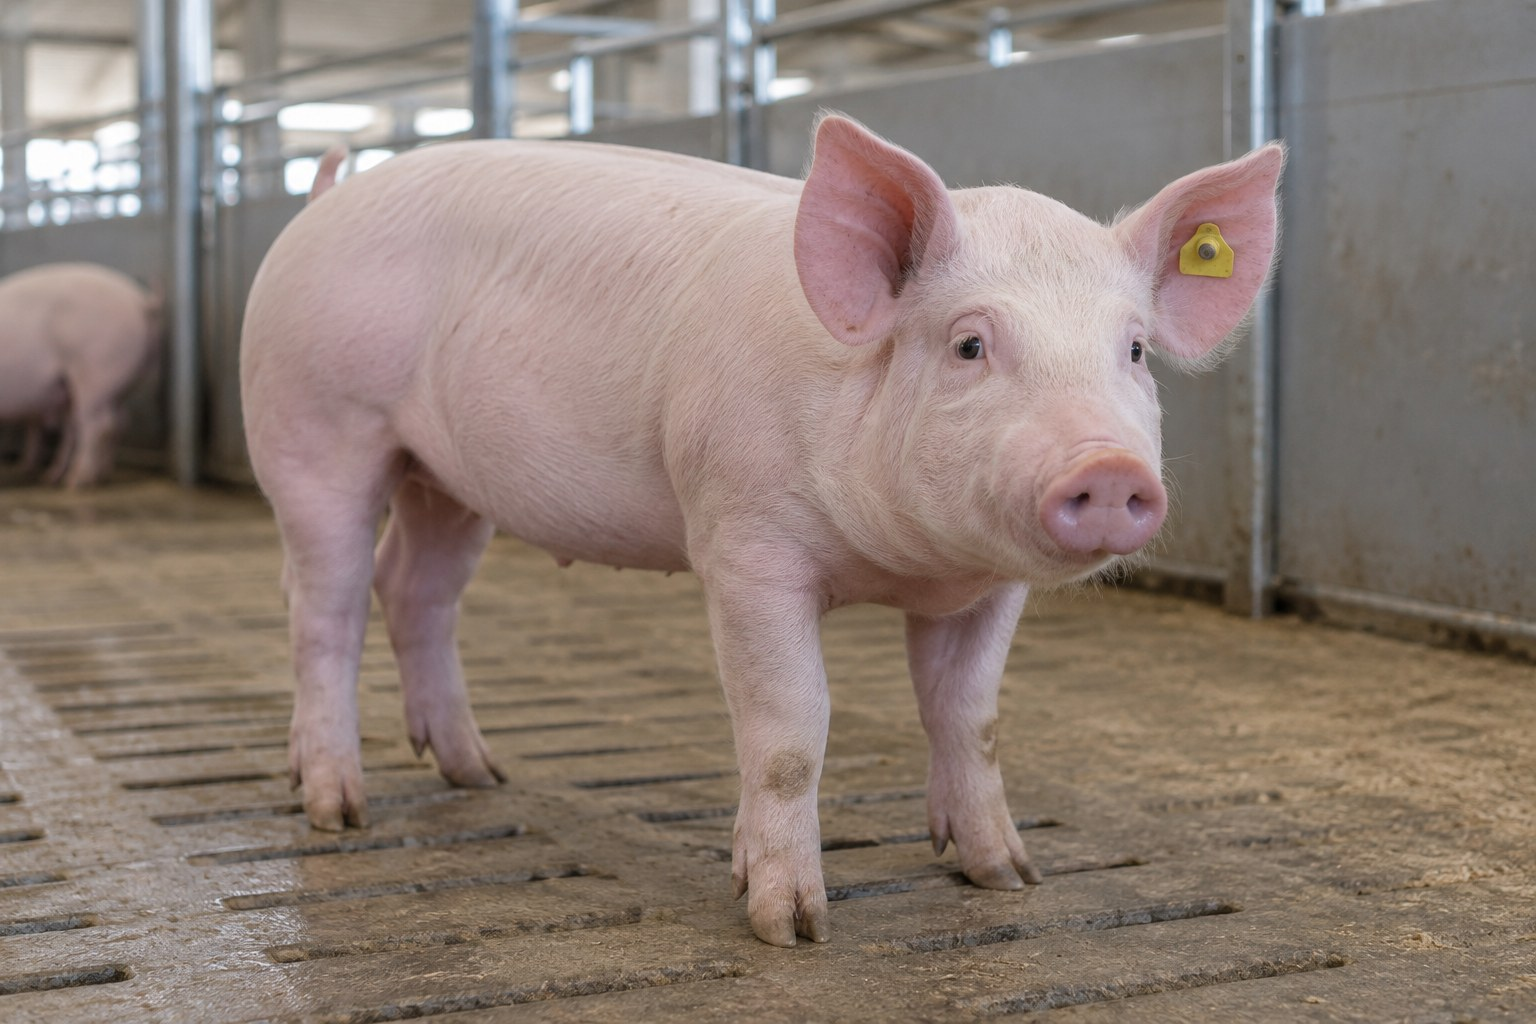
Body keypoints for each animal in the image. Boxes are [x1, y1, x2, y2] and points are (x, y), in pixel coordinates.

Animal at [0, 262, 160, 488]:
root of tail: (140, 300)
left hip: (96, 370)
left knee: (96, 425)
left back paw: (76, 482)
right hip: (116, 384)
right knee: (116, 422)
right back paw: (89, 475)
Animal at [240, 115, 1282, 947]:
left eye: (1135, 350)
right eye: (970, 344)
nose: (1108, 471)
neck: (906, 566)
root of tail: (326, 201)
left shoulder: (990, 587)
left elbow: (971, 717)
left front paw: (1007, 877)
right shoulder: (744, 544)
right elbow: (789, 729)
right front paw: (790, 924)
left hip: (450, 480)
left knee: (415, 588)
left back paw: (478, 775)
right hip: (315, 423)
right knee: (321, 606)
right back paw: (338, 811)